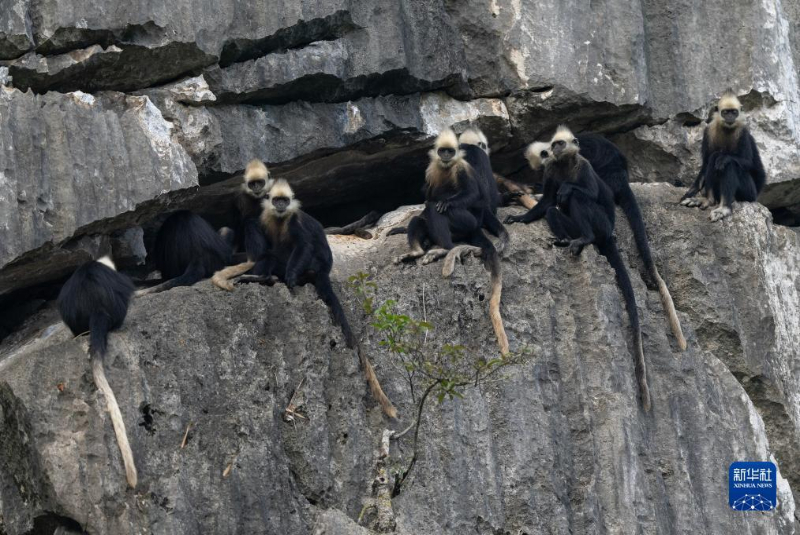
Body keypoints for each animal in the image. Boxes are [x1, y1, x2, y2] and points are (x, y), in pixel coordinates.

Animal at [216, 179, 398, 418]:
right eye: (276, 200)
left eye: (284, 200)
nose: (280, 205)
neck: (279, 218)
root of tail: (322, 272)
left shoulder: (294, 222)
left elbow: (303, 244)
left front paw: (289, 278)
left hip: (308, 265)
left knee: (277, 253)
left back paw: (263, 277)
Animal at [506, 126, 651, 410]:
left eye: (555, 147)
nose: (551, 153)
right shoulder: (552, 171)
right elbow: (547, 202)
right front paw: (520, 216)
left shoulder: (581, 163)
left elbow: (578, 191)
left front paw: (562, 188)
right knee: (553, 211)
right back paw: (565, 239)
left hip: (601, 224)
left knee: (578, 199)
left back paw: (585, 236)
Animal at [518, 134, 686, 351]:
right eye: (539, 168)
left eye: (544, 158)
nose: (541, 171)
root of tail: (621, 176)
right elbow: (548, 200)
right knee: (554, 211)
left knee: (578, 196)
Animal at [680, 92, 766, 222]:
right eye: (726, 112)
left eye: (734, 112)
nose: (730, 117)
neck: (727, 129)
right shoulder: (708, 130)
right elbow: (706, 162)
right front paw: (692, 191)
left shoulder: (743, 132)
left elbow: (748, 163)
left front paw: (724, 158)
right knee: (713, 158)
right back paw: (708, 200)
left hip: (749, 194)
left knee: (729, 164)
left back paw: (724, 208)